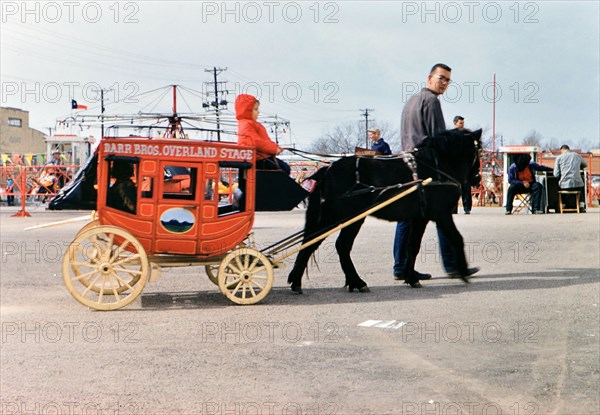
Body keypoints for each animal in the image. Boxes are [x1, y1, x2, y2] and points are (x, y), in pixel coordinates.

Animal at [286, 128, 482, 294]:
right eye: (478, 151)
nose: (477, 179)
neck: (435, 167)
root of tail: (328, 170)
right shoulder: (441, 214)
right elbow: (457, 238)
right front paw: (464, 271)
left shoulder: (420, 217)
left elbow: (413, 245)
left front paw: (411, 277)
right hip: (342, 218)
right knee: (332, 245)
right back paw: (354, 282)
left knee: (318, 244)